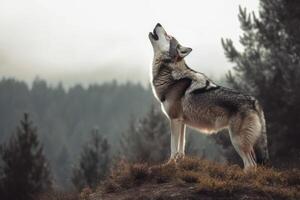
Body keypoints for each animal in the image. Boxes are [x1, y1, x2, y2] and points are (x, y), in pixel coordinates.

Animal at [149, 23, 268, 170]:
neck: (171, 75)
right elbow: (181, 147)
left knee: (250, 165)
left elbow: (173, 147)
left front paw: (169, 164)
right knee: (253, 165)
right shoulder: (182, 122)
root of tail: (254, 101)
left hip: (237, 141)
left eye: (168, 36)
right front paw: (179, 161)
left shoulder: (174, 119)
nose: (158, 23)